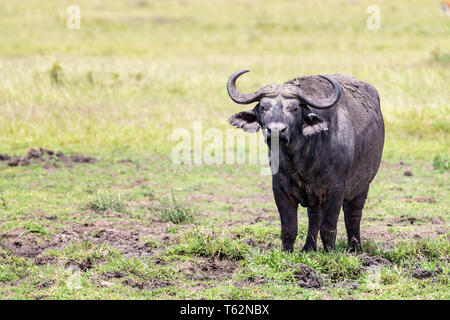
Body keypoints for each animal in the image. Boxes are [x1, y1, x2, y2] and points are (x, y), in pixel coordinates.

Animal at [227, 70, 384, 252]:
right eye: (264, 107)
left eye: (294, 108)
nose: (276, 130)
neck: (302, 160)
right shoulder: (280, 188)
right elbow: (289, 227)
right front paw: (287, 252)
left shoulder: (337, 189)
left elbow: (329, 227)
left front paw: (330, 252)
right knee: (314, 217)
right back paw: (309, 247)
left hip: (363, 186)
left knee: (353, 214)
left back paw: (355, 248)